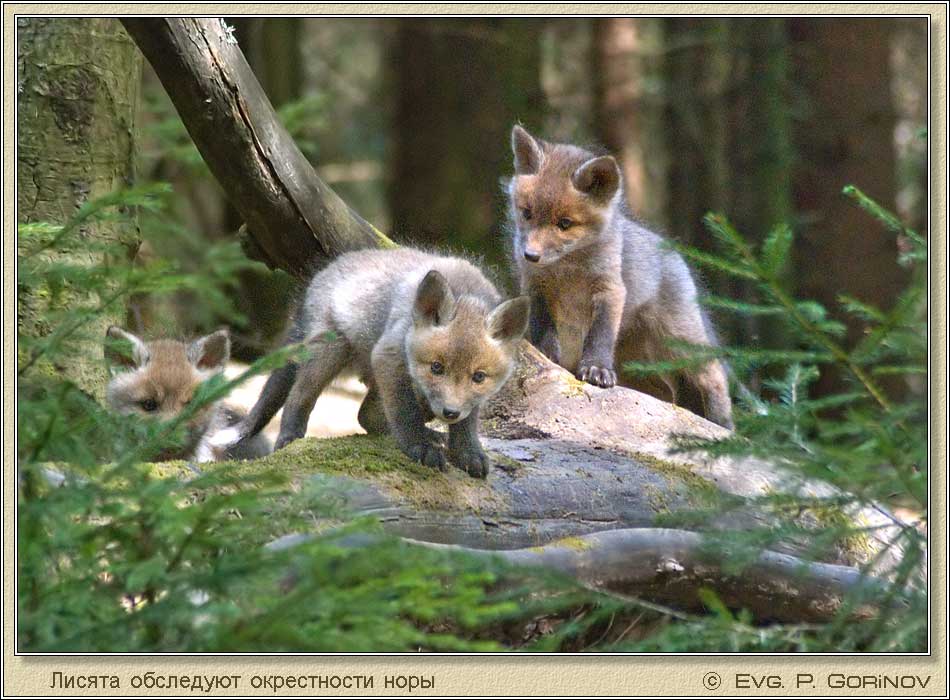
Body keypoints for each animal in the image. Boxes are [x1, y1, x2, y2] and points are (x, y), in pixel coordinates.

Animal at [209, 248, 530, 478]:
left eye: (479, 377)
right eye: (436, 368)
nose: (449, 412)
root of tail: (320, 276)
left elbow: (467, 421)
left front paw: (466, 452)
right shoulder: (388, 355)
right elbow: (405, 412)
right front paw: (419, 446)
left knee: (366, 416)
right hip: (331, 353)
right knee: (299, 397)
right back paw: (290, 439)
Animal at [507, 125, 733, 429]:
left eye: (564, 223)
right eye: (527, 213)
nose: (530, 255)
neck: (568, 270)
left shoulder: (610, 290)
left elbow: (600, 335)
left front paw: (596, 368)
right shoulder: (534, 287)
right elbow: (543, 327)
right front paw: (548, 356)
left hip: (680, 341)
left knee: (714, 374)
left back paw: (725, 424)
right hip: (638, 366)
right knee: (669, 394)